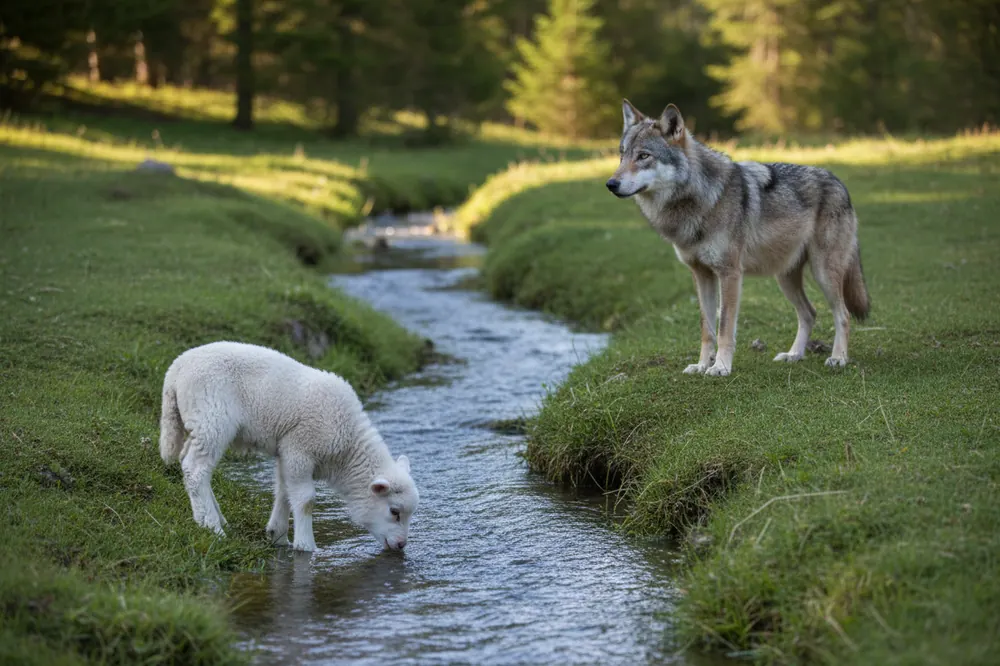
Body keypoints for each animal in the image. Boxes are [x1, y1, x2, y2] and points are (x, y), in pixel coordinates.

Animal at [606, 100, 870, 376]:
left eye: (644, 156)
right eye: (622, 155)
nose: (610, 184)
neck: (699, 200)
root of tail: (840, 182)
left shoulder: (730, 273)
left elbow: (724, 327)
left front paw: (721, 367)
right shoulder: (701, 275)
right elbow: (706, 329)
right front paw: (702, 365)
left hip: (823, 273)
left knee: (843, 315)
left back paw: (838, 358)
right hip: (785, 278)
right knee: (810, 313)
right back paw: (794, 355)